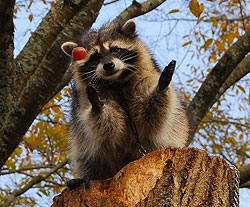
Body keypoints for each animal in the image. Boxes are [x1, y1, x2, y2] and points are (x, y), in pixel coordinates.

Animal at [61, 19, 193, 184]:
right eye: (94, 57)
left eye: (115, 49)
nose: (108, 65)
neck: (116, 81)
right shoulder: (84, 99)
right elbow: (106, 125)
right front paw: (98, 107)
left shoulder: (147, 77)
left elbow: (153, 117)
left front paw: (160, 88)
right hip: (87, 149)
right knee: (89, 157)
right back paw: (88, 178)